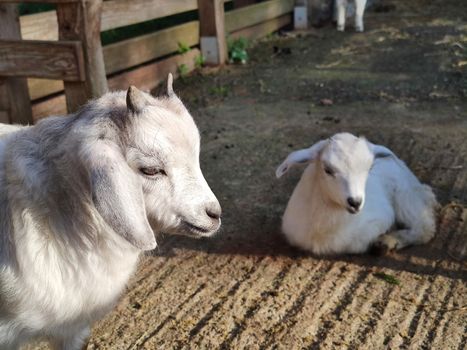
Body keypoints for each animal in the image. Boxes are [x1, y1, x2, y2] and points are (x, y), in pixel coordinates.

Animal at [276, 133, 436, 256]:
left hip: (405, 195)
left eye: (370, 168)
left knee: (424, 227)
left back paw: (388, 241)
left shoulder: (382, 217)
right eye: (327, 170)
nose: (355, 202)